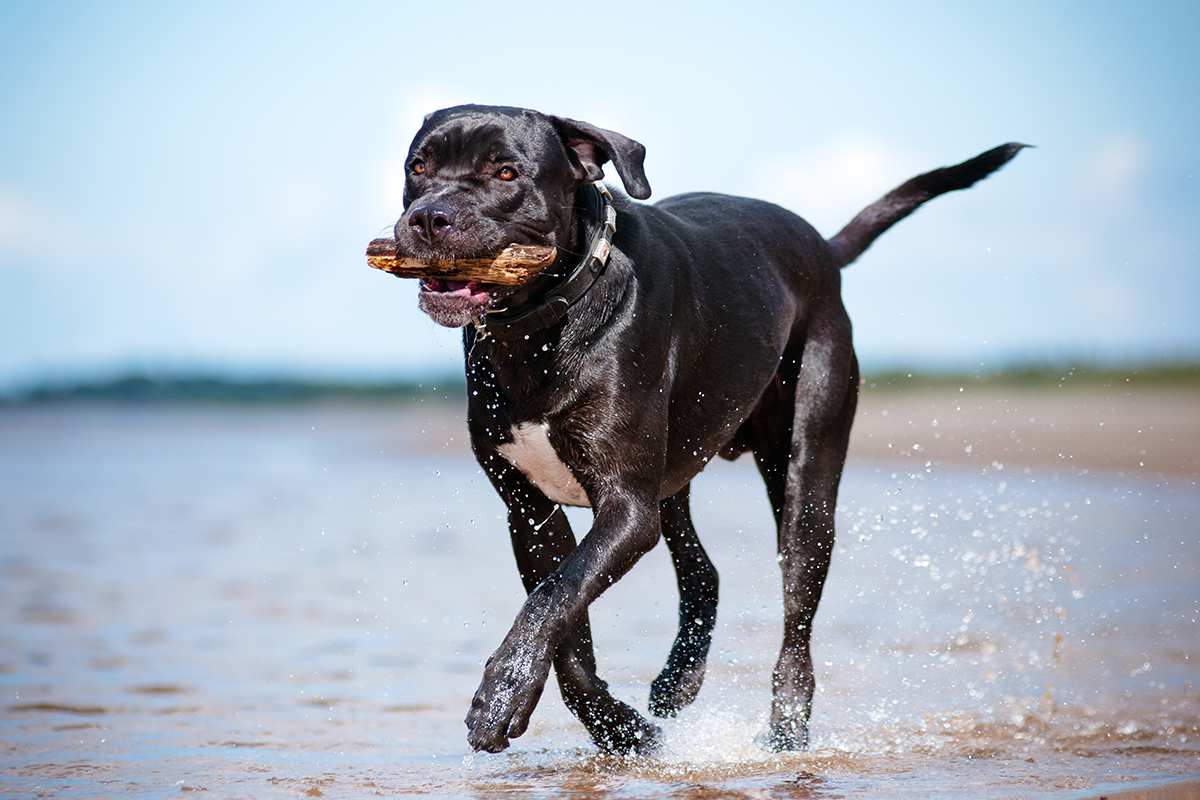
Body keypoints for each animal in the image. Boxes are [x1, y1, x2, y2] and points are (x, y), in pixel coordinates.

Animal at [384, 103, 1022, 753]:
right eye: (419, 167)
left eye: (507, 172)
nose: (429, 217)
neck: (542, 323)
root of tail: (822, 247)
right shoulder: (530, 511)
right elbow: (565, 623)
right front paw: (621, 731)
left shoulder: (626, 506)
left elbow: (555, 597)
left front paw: (501, 695)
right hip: (675, 477)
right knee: (702, 572)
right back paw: (678, 680)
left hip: (806, 473)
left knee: (797, 610)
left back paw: (786, 732)